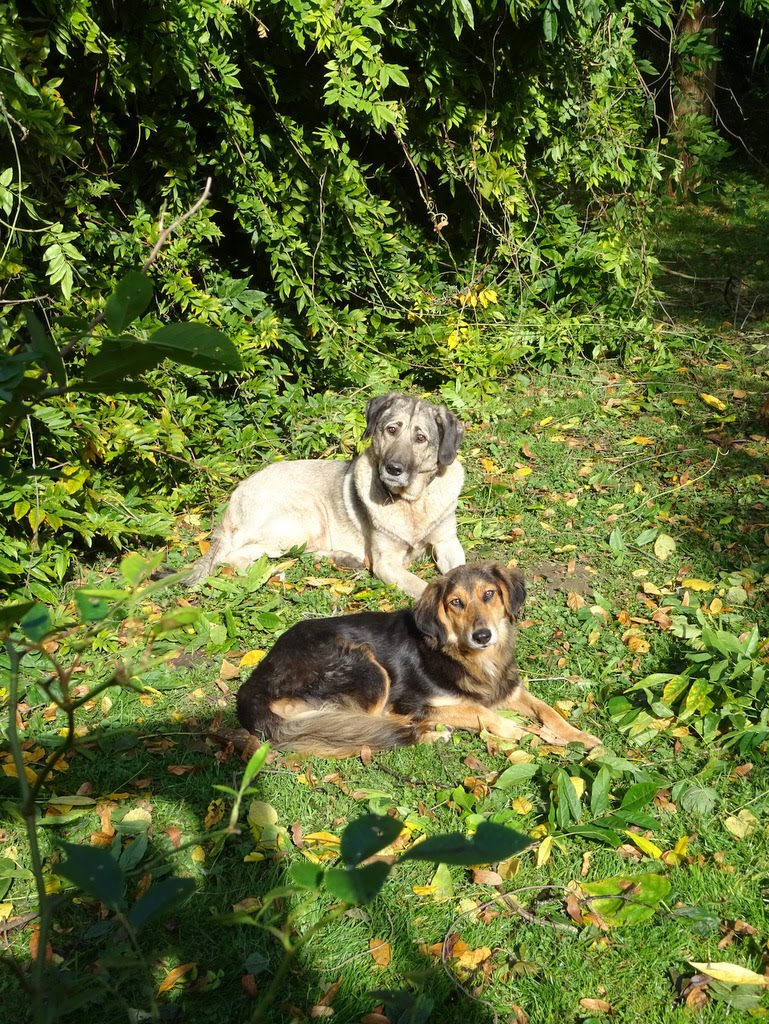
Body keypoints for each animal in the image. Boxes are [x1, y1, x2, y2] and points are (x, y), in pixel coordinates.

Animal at [188, 391, 462, 598]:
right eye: (391, 430)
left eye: (420, 438)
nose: (393, 469)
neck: (413, 501)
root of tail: (234, 501)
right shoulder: (387, 562)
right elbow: (422, 586)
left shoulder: (447, 542)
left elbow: (463, 569)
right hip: (306, 515)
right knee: (236, 559)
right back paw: (272, 575)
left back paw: (343, 558)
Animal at [234, 565, 602, 757]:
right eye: (456, 602)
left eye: (489, 594)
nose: (483, 635)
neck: (467, 656)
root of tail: (251, 688)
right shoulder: (416, 702)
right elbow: (479, 710)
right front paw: (517, 730)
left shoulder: (509, 690)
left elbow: (548, 710)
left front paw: (580, 737)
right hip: (367, 670)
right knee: (370, 729)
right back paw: (427, 734)